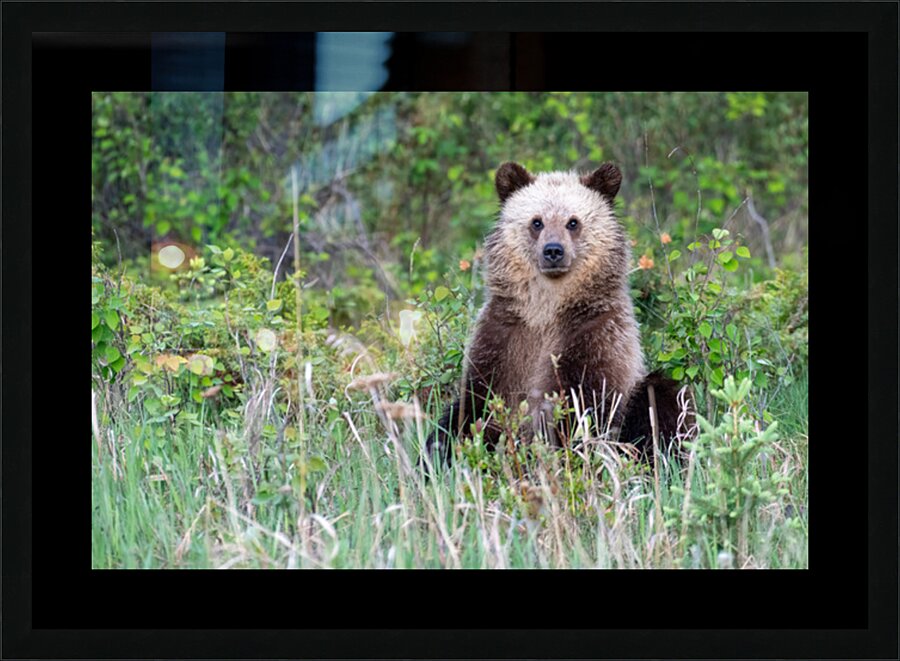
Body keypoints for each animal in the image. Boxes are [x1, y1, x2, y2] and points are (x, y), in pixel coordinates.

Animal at [423, 161, 690, 468]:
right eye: (536, 221)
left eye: (572, 222)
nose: (553, 251)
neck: (546, 309)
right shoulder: (502, 337)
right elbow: (473, 404)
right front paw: (439, 453)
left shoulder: (595, 337)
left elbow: (579, 406)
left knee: (662, 400)